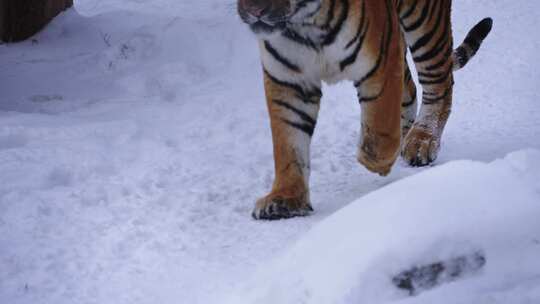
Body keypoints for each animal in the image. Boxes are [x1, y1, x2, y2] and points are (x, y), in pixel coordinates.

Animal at [237, 0, 494, 218]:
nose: (254, 10)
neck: (305, 24)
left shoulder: (380, 62)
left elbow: (379, 128)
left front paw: (378, 161)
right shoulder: (287, 81)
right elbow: (288, 144)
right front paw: (285, 198)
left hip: (424, 21)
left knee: (440, 83)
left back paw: (421, 142)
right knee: (410, 89)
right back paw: (407, 135)